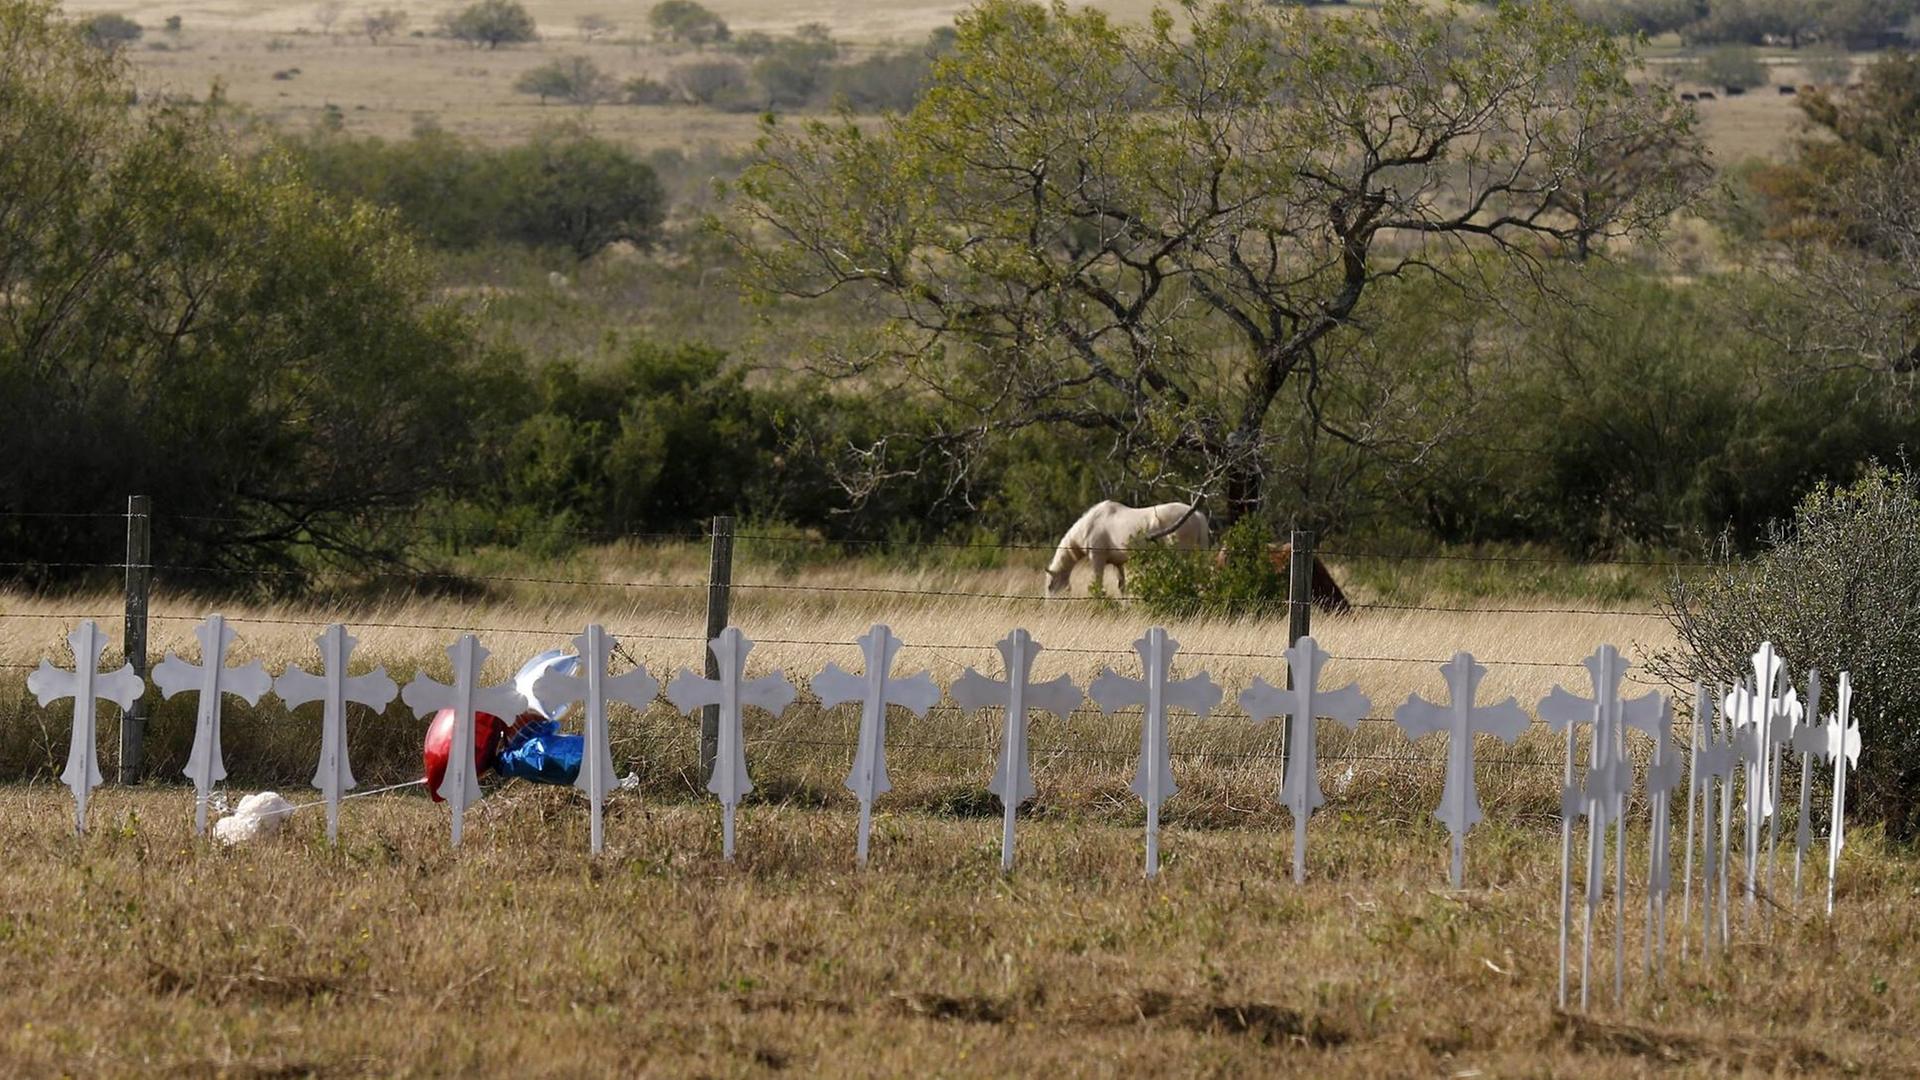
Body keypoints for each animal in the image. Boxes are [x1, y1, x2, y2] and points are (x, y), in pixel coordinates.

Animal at [1044, 499, 1205, 591]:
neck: (1089, 525)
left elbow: (1098, 584)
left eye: (1050, 586)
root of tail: (1197, 515)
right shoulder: (1118, 563)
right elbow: (1121, 587)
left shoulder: (1097, 558)